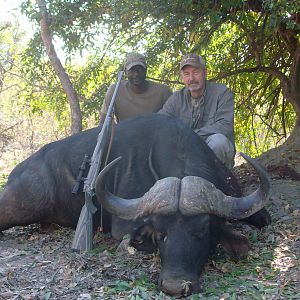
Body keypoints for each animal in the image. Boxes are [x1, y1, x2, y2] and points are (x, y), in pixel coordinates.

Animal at [0, 113, 270, 296]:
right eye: (161, 233)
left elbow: (262, 218)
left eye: (200, 231)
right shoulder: (123, 226)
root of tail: (18, 171)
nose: (175, 286)